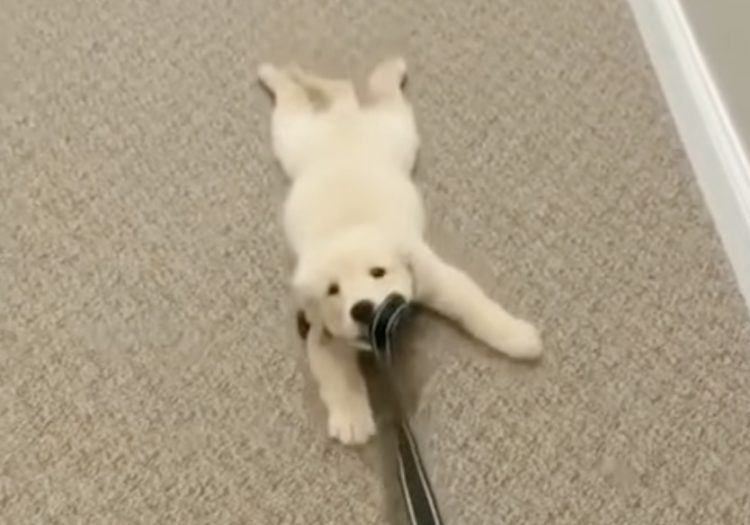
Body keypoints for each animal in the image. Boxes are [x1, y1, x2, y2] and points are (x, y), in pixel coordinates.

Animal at [258, 58, 542, 445]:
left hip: (394, 131)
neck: (349, 227)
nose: (363, 309)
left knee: (364, 93)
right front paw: (352, 418)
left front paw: (518, 338)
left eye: (378, 272)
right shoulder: (321, 331)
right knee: (312, 96)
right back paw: (281, 75)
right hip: (295, 137)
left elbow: (478, 308)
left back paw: (379, 71)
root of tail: (345, 119)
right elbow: (338, 377)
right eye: (333, 290)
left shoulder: (436, 278)